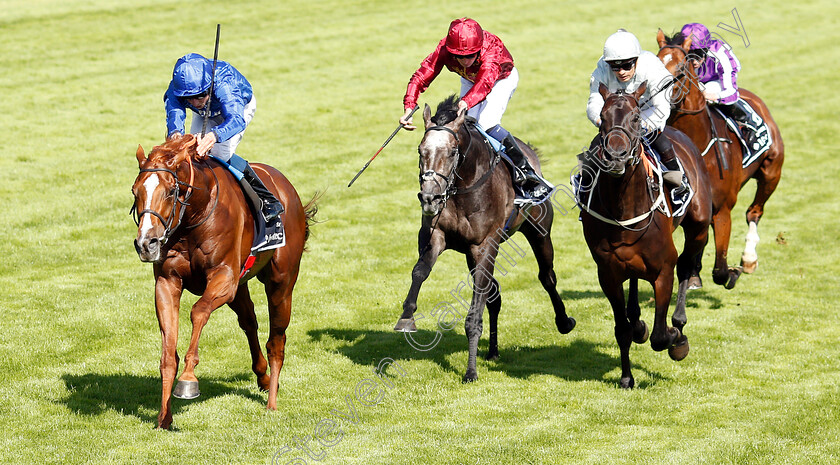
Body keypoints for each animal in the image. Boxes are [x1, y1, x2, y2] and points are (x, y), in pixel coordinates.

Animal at [130, 134, 316, 428]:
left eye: (170, 191)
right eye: (136, 192)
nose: (146, 244)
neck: (193, 219)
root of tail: (287, 188)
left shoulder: (224, 278)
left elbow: (198, 311)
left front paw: (188, 380)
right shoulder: (167, 282)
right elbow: (168, 352)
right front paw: (164, 417)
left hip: (281, 283)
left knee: (276, 340)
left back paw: (272, 402)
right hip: (241, 287)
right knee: (249, 322)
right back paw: (263, 377)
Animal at [394, 96, 576, 382]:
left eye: (452, 152)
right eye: (421, 151)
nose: (430, 198)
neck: (463, 187)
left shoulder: (484, 246)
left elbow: (473, 313)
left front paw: (470, 371)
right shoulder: (437, 237)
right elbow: (419, 271)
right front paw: (406, 317)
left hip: (539, 231)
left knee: (547, 277)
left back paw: (564, 321)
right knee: (495, 294)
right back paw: (492, 351)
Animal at [580, 82, 712, 388]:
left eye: (636, 118)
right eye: (602, 118)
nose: (616, 156)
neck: (624, 209)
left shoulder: (663, 269)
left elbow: (660, 336)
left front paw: (676, 339)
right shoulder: (608, 274)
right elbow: (622, 330)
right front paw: (627, 377)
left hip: (699, 225)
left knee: (686, 266)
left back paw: (679, 323)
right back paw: (638, 321)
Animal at [656, 30, 780, 288]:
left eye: (680, 68)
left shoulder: (723, 209)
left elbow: (720, 270)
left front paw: (733, 272)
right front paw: (692, 274)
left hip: (771, 173)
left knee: (754, 212)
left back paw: (749, 259)